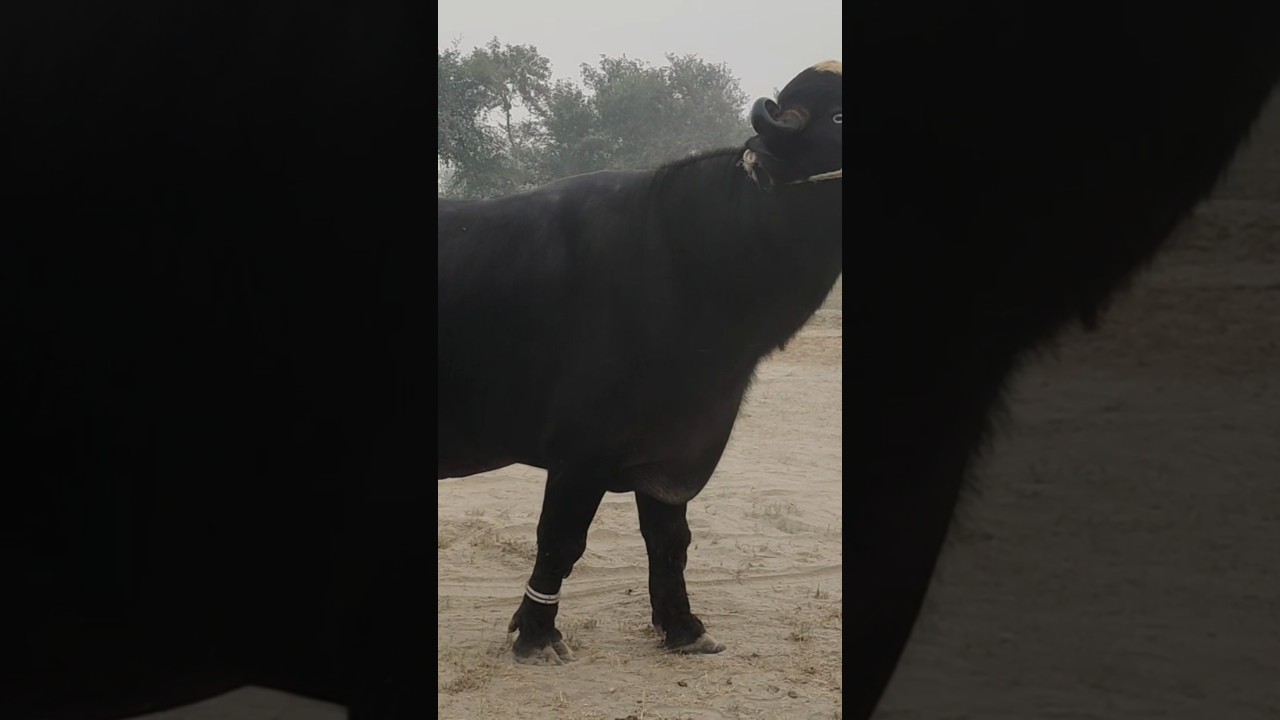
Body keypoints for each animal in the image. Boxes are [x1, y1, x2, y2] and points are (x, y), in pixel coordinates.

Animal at [438, 62, 843, 663]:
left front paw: (684, 628)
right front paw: (537, 633)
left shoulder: (676, 445)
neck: (689, 261)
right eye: (839, 116)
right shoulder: (580, 452)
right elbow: (560, 542)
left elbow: (670, 543)